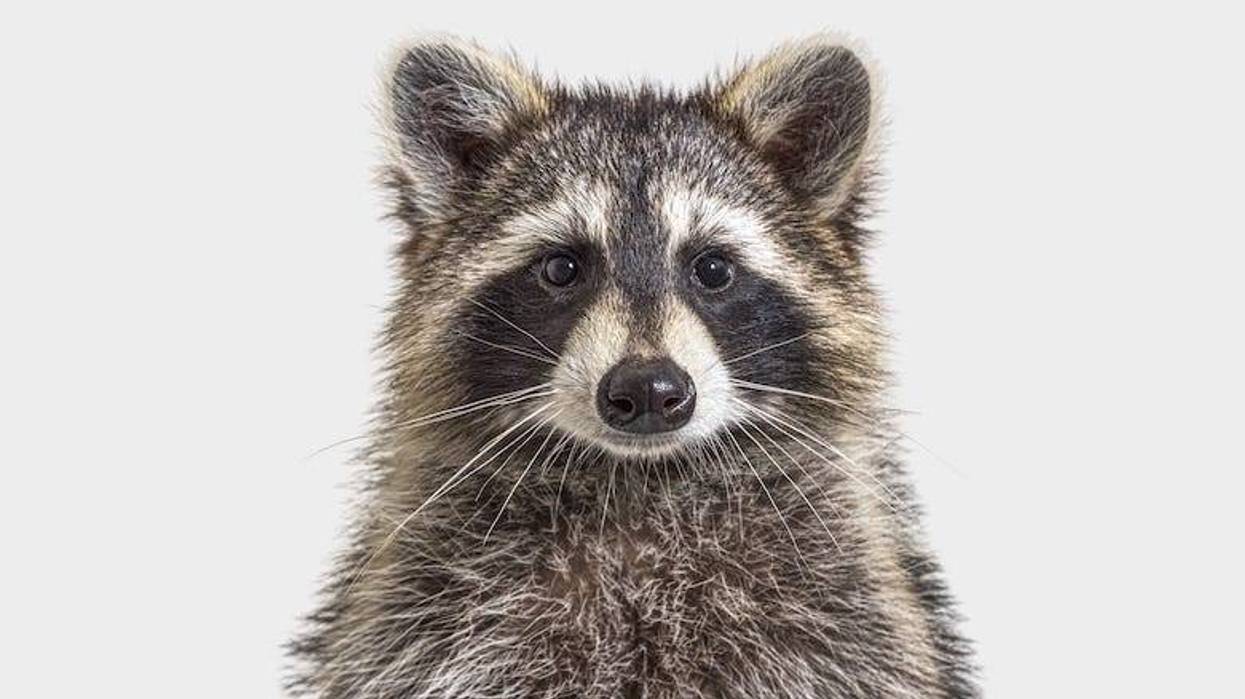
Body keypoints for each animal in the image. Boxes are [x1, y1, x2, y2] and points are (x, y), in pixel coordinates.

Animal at [289, 34, 975, 698]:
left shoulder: (846, 617)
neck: (638, 482)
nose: (647, 389)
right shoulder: (421, 619)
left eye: (712, 269)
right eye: (562, 268)